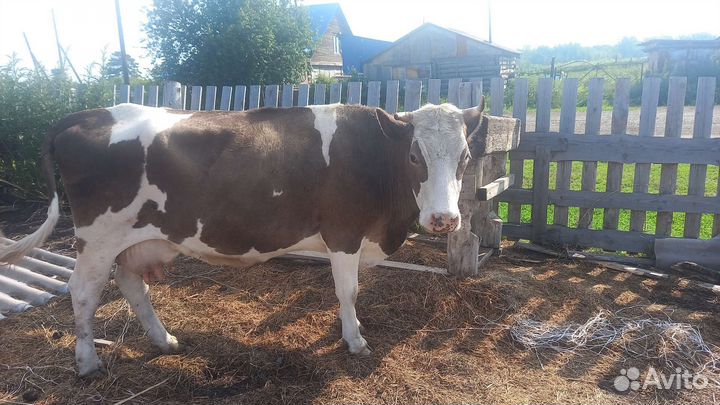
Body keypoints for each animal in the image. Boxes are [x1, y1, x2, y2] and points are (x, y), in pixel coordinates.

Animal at [0, 99, 515, 377]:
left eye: (466, 155)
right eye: (413, 155)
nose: (444, 219)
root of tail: (85, 114)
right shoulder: (343, 233)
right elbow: (347, 292)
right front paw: (354, 340)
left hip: (136, 238)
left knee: (131, 284)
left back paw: (164, 340)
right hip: (97, 237)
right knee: (83, 293)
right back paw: (87, 361)